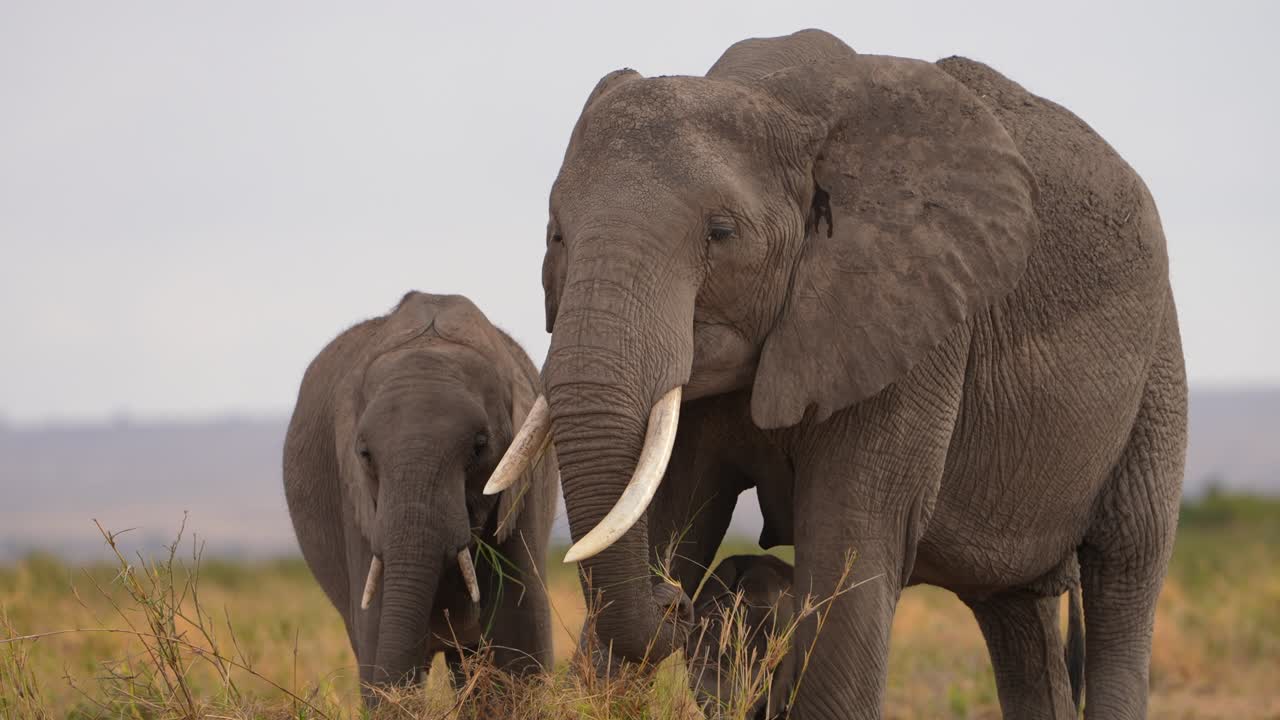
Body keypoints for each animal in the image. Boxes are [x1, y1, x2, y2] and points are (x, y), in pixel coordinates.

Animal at [283, 291, 558, 701]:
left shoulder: (522, 486)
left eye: (479, 447)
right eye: (364, 454)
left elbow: (520, 651)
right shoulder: (358, 505)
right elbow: (379, 646)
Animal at [486, 29, 1186, 719]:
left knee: (1125, 569)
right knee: (1014, 612)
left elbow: (850, 547)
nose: (672, 602)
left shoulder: (909, 323)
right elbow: (664, 509)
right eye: (556, 236)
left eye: (721, 232)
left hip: (1159, 370)